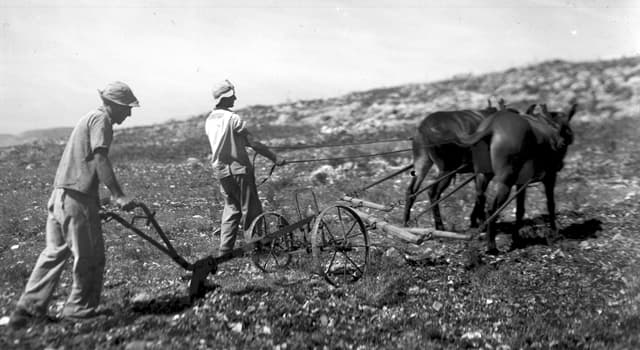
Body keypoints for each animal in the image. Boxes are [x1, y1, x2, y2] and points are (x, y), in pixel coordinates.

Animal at [402, 100, 502, 228]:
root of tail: (424, 128)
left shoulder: (478, 172)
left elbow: (479, 193)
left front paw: (475, 220)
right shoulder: (486, 172)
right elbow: (482, 194)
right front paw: (481, 221)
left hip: (422, 162)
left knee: (411, 190)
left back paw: (405, 222)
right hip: (447, 170)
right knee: (433, 193)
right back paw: (440, 226)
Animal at [460, 102, 580, 253]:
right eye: (566, 128)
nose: (561, 144)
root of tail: (491, 125)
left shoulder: (521, 183)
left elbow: (520, 210)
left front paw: (517, 239)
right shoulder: (550, 177)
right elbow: (550, 205)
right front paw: (554, 232)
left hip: (483, 176)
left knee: (481, 199)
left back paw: (483, 231)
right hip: (505, 182)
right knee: (492, 210)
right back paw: (492, 246)